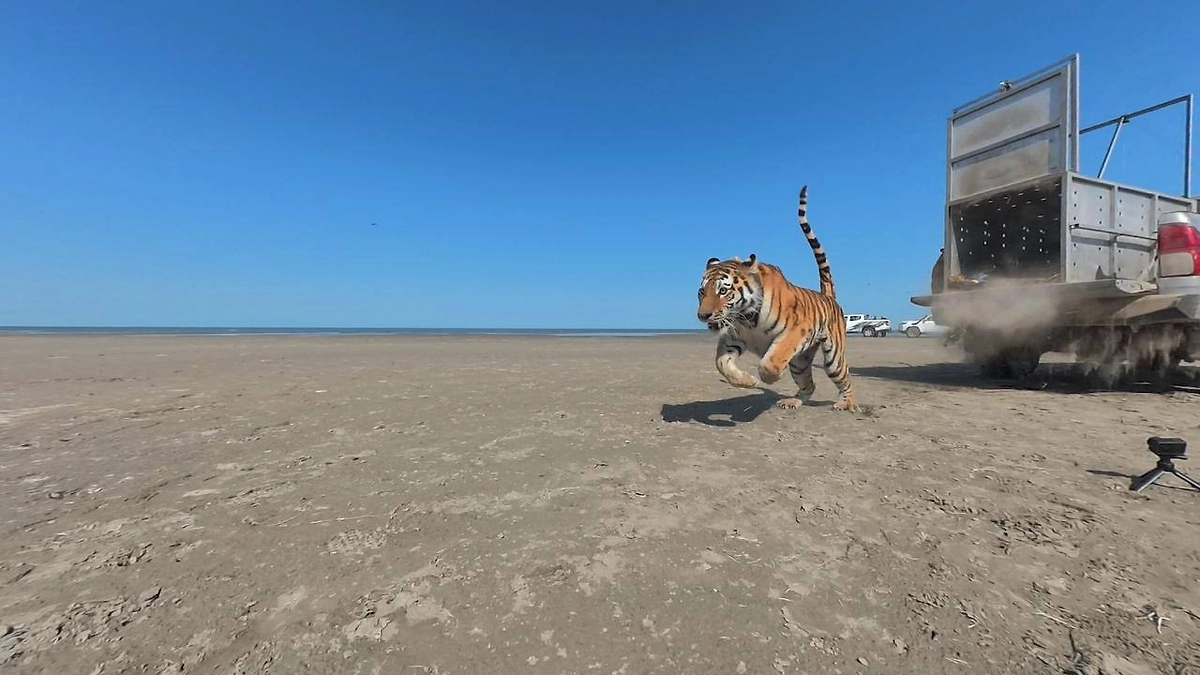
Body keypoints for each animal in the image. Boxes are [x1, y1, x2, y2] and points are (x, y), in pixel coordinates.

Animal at [695, 185, 857, 412]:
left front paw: (766, 378)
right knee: (809, 385)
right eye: (702, 292)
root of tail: (827, 295)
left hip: (832, 359)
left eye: (723, 291)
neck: (746, 316)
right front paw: (748, 381)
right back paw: (793, 402)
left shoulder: (794, 332)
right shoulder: (732, 338)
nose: (703, 315)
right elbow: (721, 364)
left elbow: (770, 362)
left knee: (845, 378)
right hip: (799, 363)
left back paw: (845, 403)